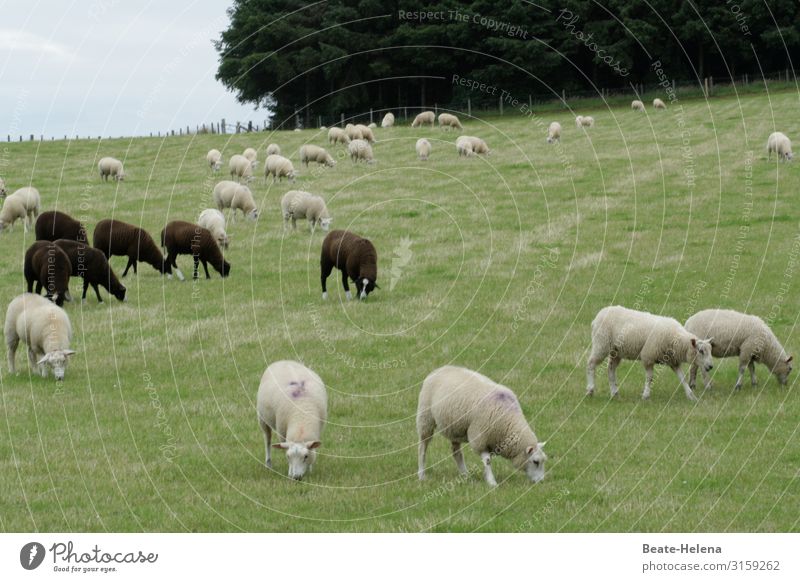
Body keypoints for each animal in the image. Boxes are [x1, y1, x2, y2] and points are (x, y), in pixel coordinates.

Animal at [416, 370, 548, 488]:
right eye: (535, 461)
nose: (541, 481)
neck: (507, 422)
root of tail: (439, 369)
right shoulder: (480, 438)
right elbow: (488, 461)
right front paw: (492, 482)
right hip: (425, 418)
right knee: (422, 448)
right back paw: (421, 475)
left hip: (455, 427)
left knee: (456, 452)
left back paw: (465, 475)